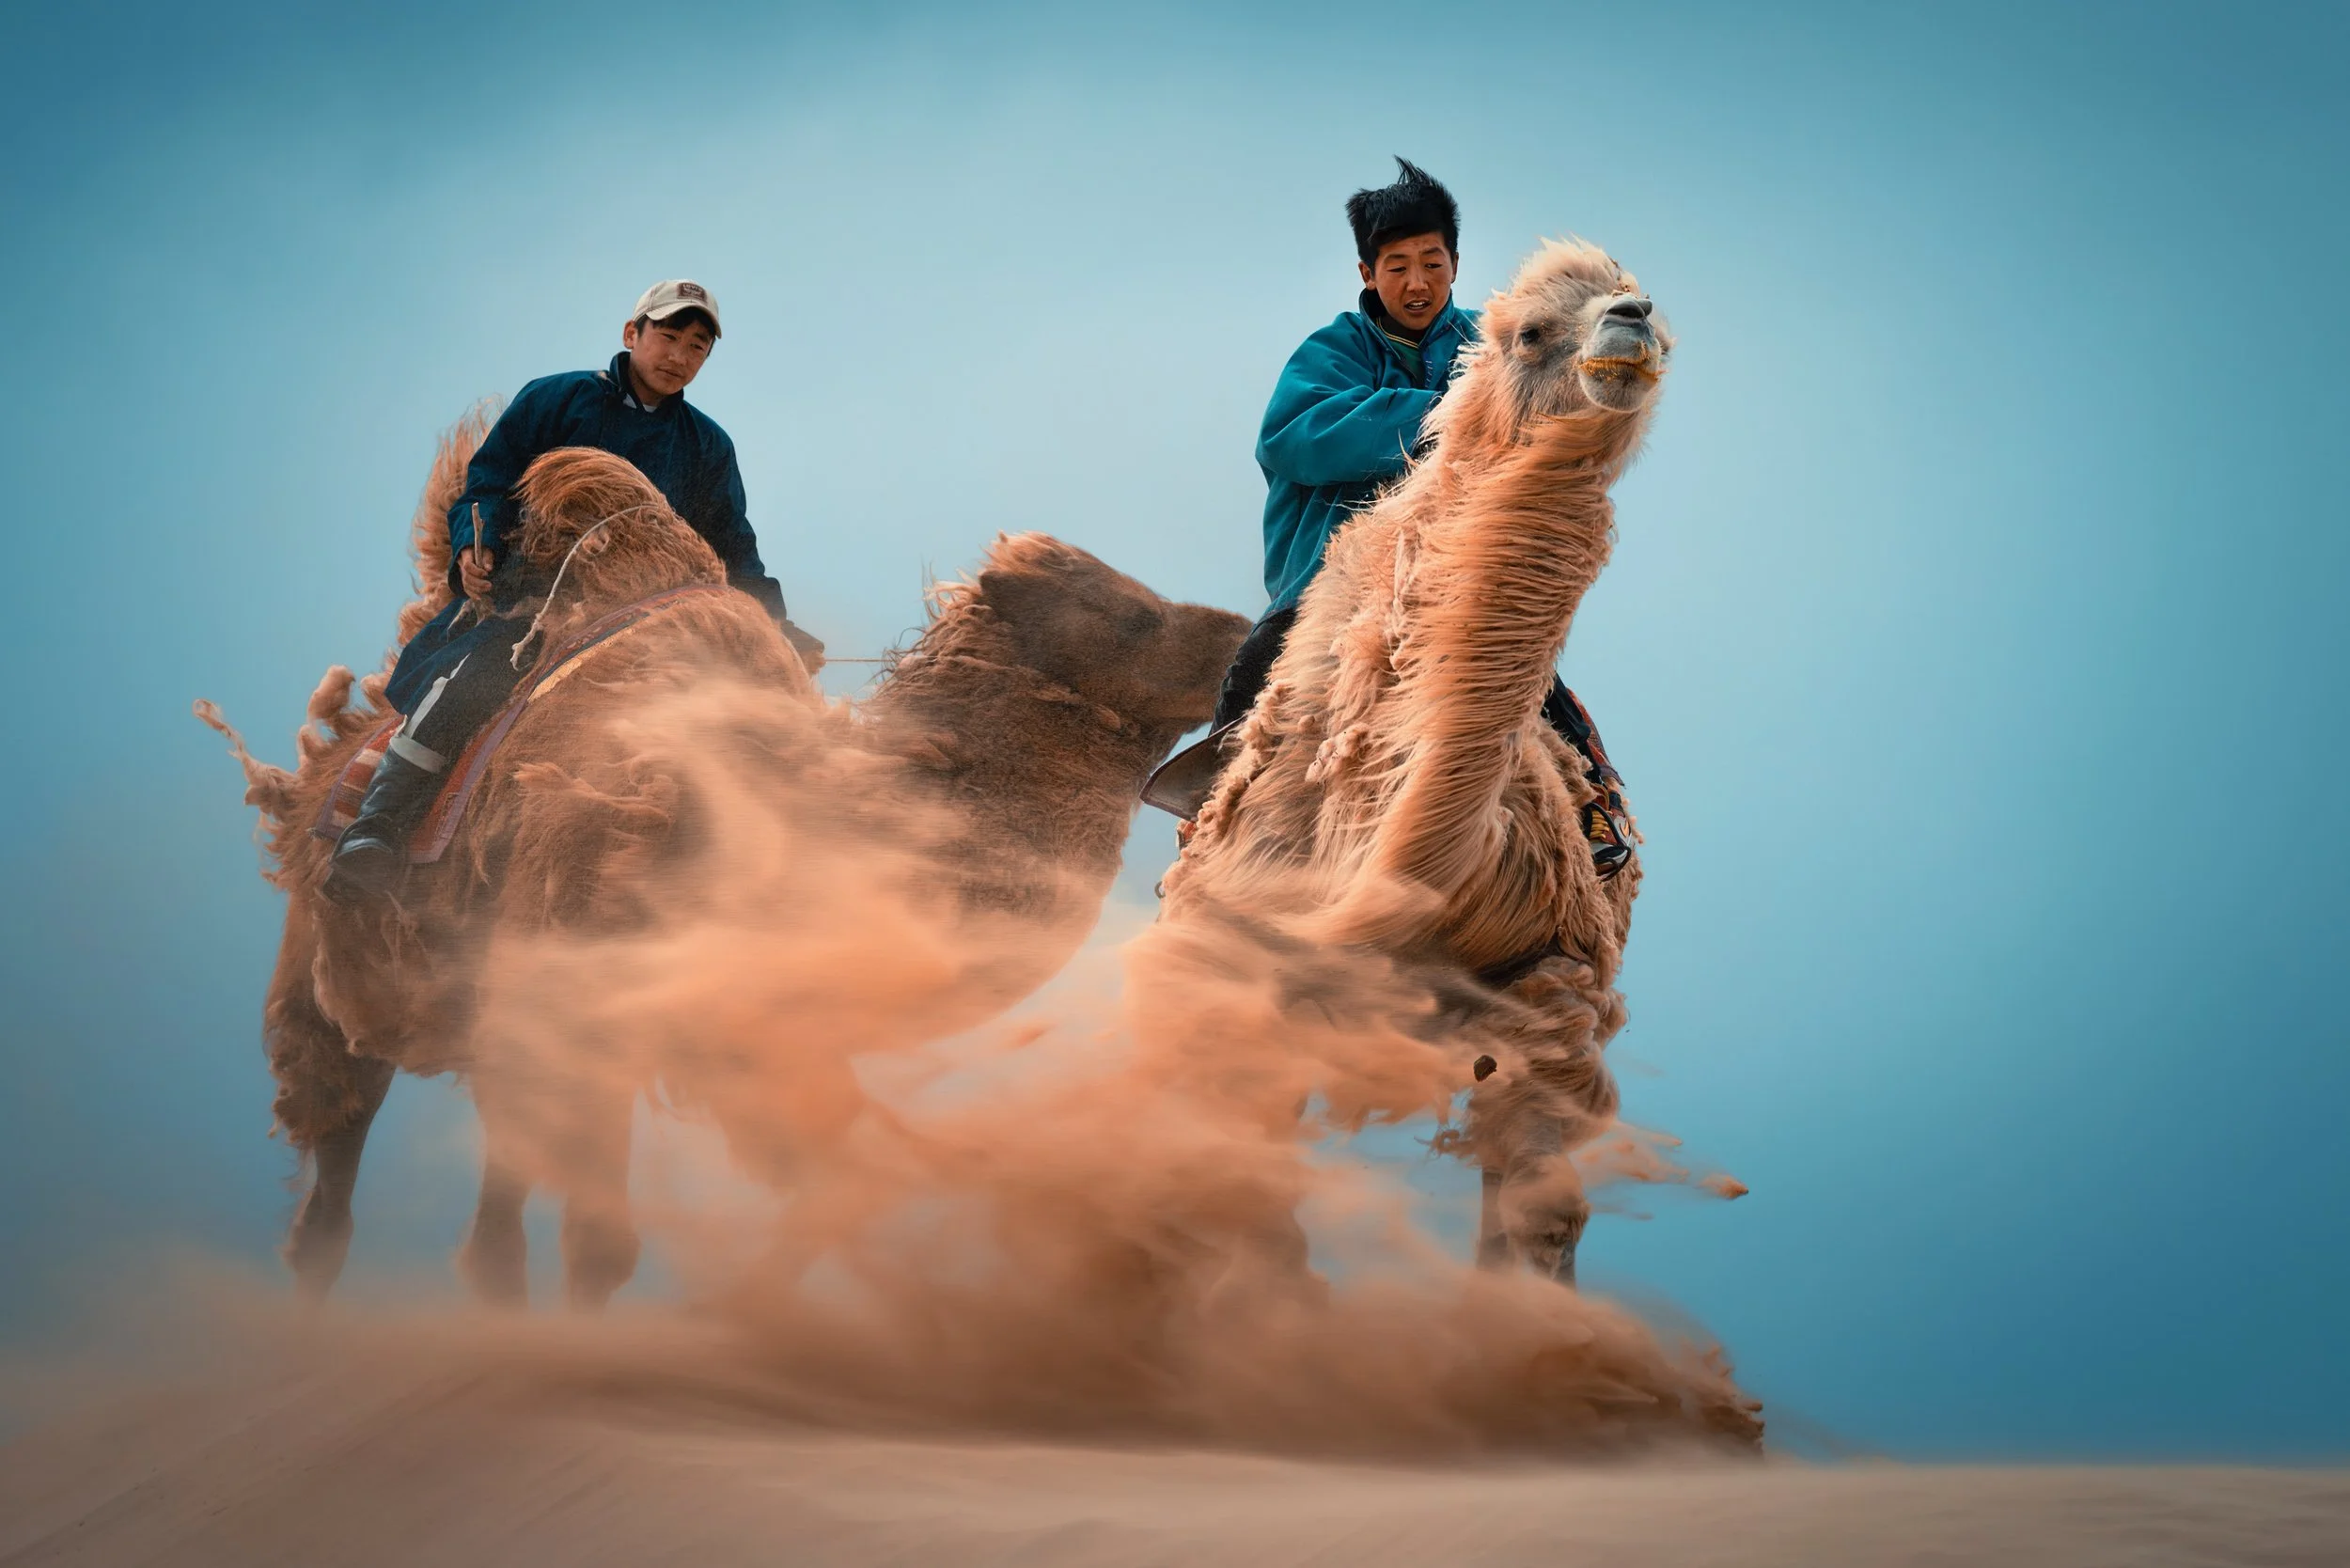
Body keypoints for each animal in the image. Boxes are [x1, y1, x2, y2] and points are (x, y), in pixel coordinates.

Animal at [202, 426, 1247, 1306]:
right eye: (1125, 614)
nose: (1241, 634)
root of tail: (344, 748)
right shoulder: (586, 998)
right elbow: (602, 1244)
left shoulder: (738, 1033)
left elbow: (819, 1184)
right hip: (336, 968)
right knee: (336, 1167)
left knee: (492, 1195)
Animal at [1139, 238, 1679, 1290]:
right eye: (1530, 332)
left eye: (1641, 301)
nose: (1631, 322)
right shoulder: (1229, 958)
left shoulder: (1558, 974)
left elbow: (1540, 1208)